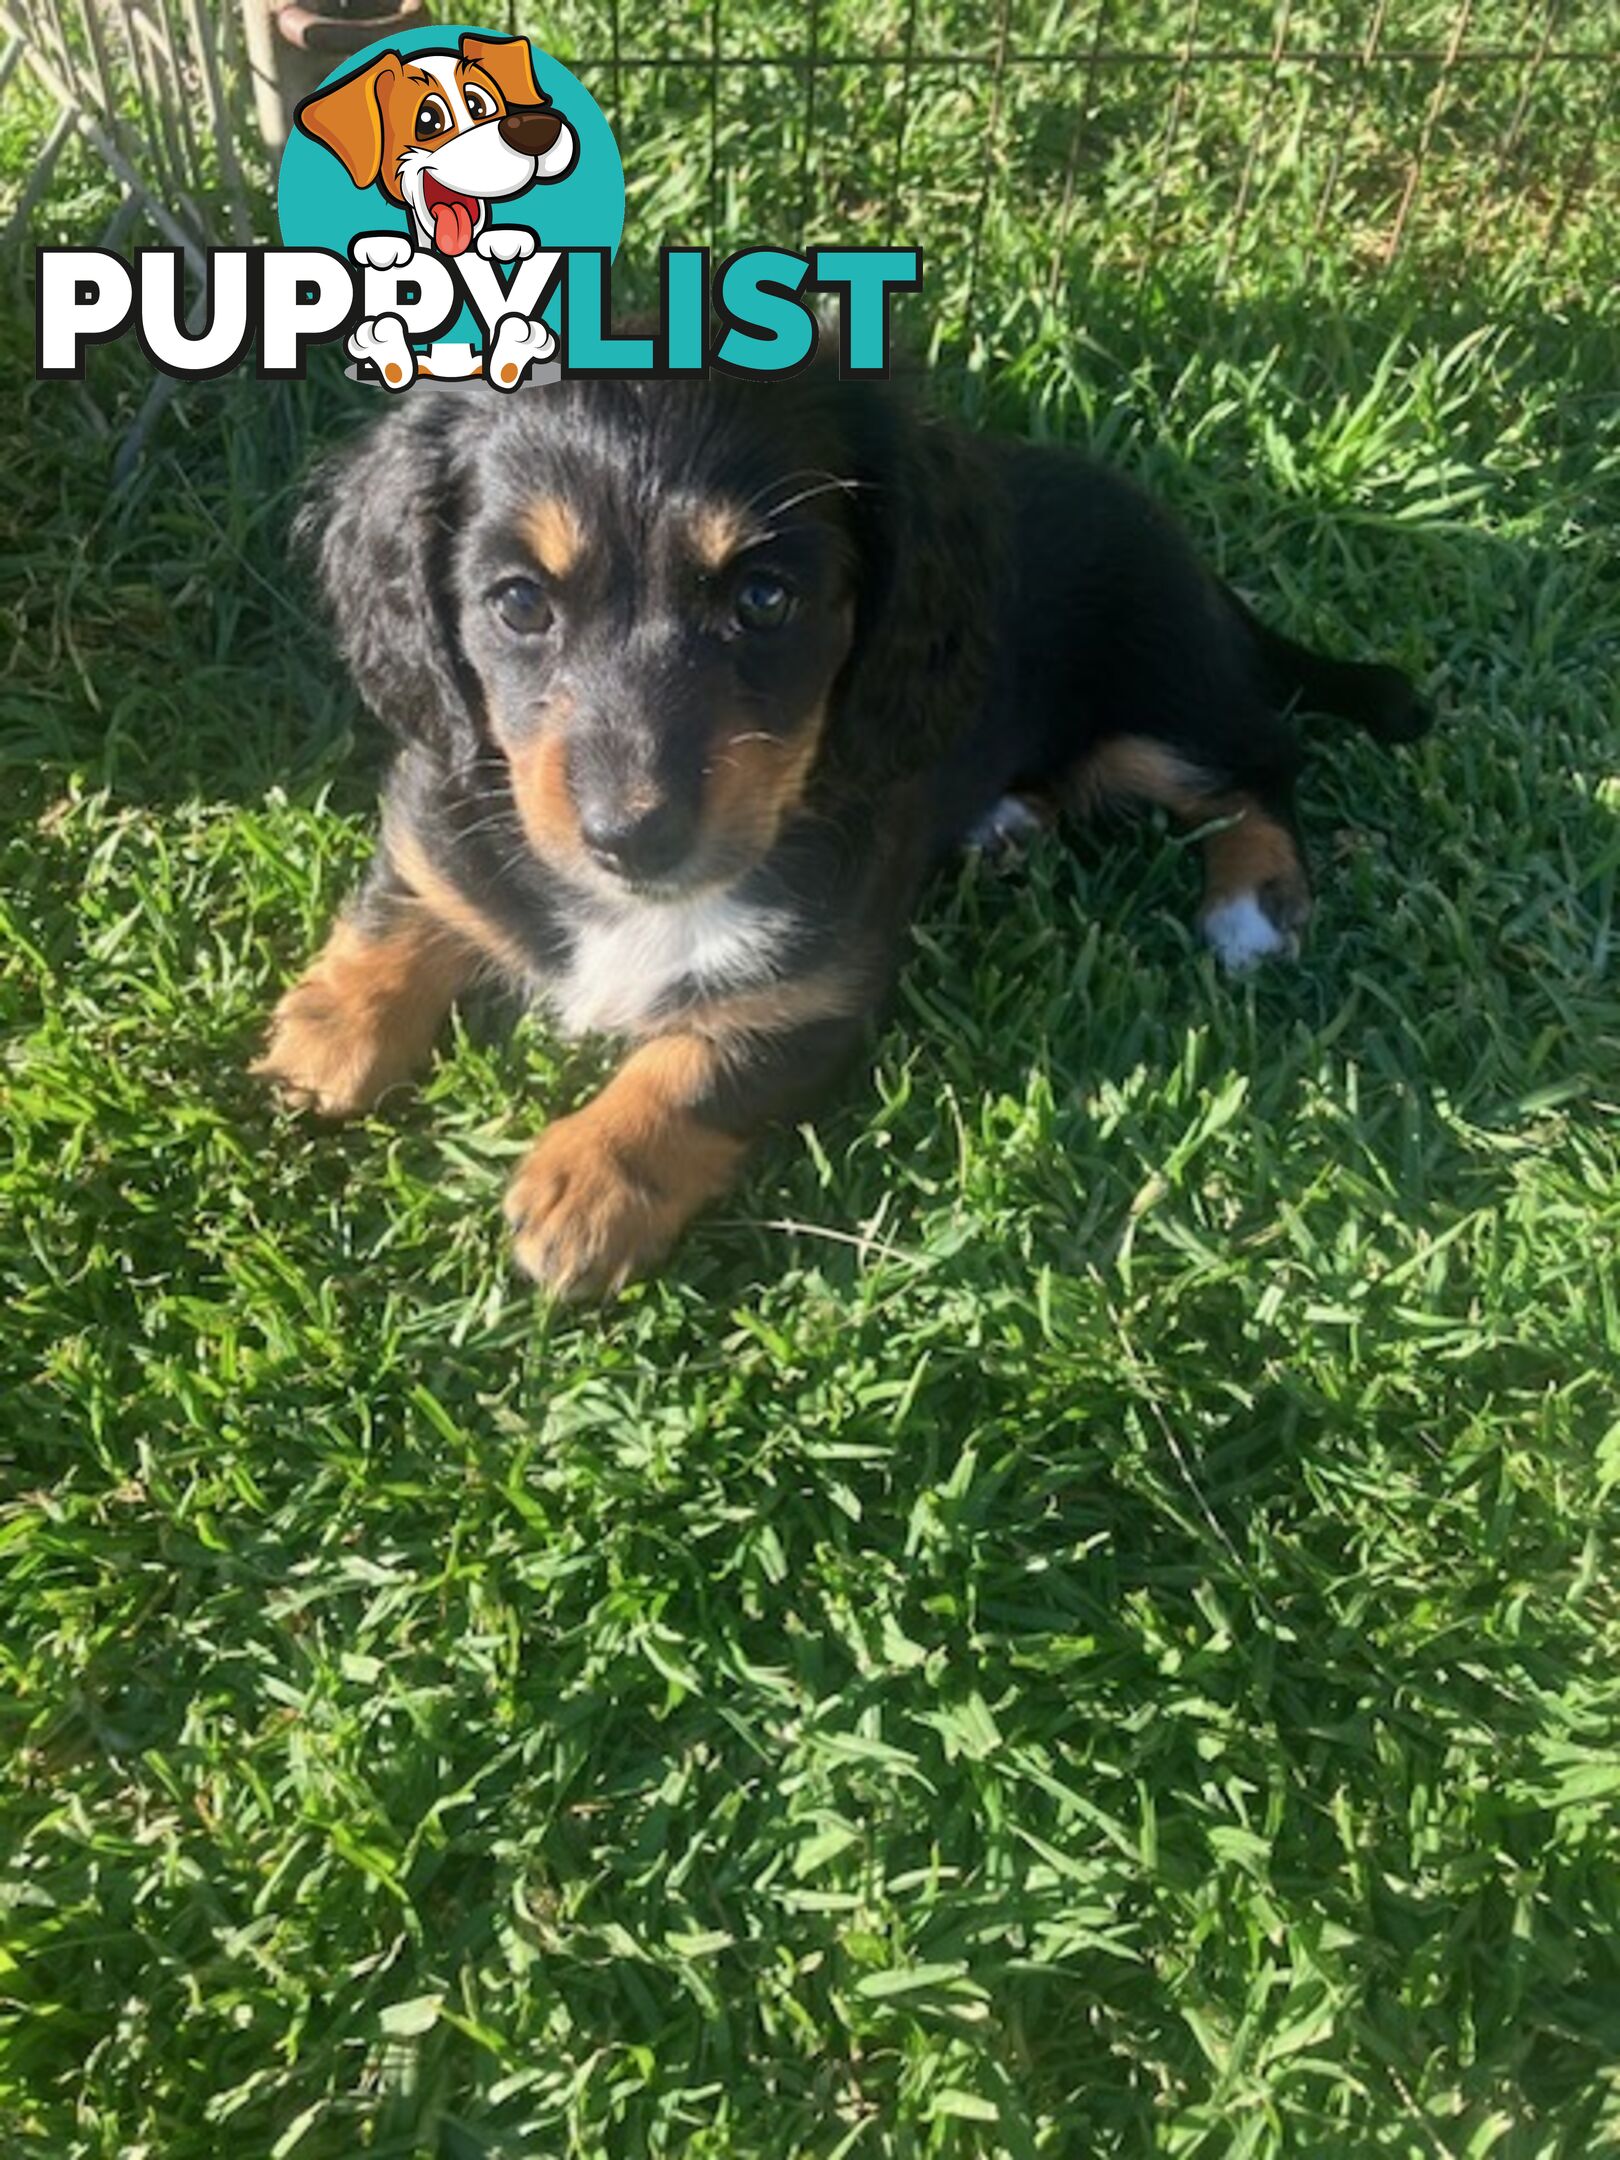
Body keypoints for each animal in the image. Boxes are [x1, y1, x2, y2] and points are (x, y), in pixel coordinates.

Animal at [257, 367, 1434, 1296]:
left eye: (766, 600)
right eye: (517, 604)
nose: (633, 841)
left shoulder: (815, 990)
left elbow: (698, 1065)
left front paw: (590, 1183)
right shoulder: (452, 802)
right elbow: (414, 885)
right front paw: (329, 1029)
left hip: (1159, 706)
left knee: (1262, 764)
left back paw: (1250, 904)